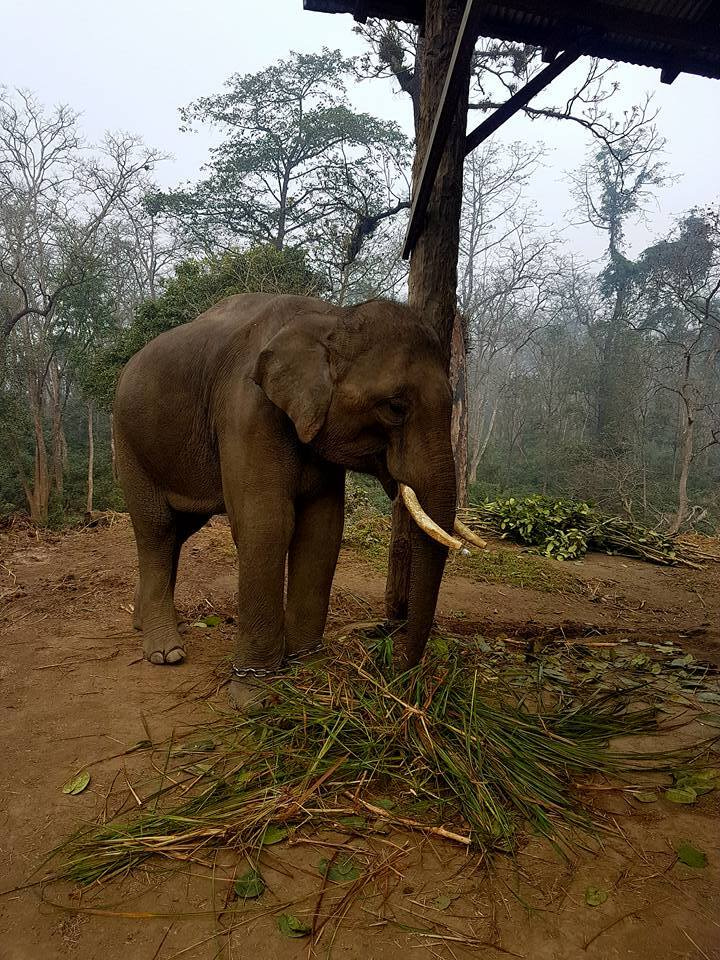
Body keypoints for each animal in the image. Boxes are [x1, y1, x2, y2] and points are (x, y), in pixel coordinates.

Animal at [113, 293, 473, 705]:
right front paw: (253, 694)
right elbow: (267, 525)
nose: (399, 671)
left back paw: (143, 623)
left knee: (179, 529)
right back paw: (166, 652)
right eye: (395, 407)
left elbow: (322, 529)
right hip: (129, 443)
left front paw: (310, 670)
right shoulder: (247, 411)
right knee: (156, 528)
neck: (331, 317)